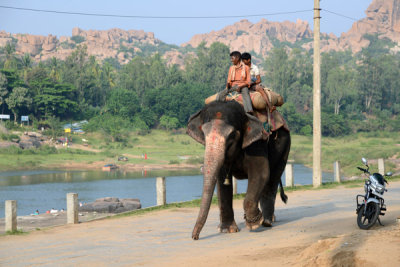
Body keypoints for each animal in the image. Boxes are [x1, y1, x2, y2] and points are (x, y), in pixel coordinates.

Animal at [186, 100, 292, 241]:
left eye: (231, 136)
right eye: (203, 134)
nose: (195, 237)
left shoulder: (257, 143)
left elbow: (261, 173)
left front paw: (254, 223)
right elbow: (222, 180)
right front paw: (227, 230)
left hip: (285, 145)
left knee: (272, 178)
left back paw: (266, 221)